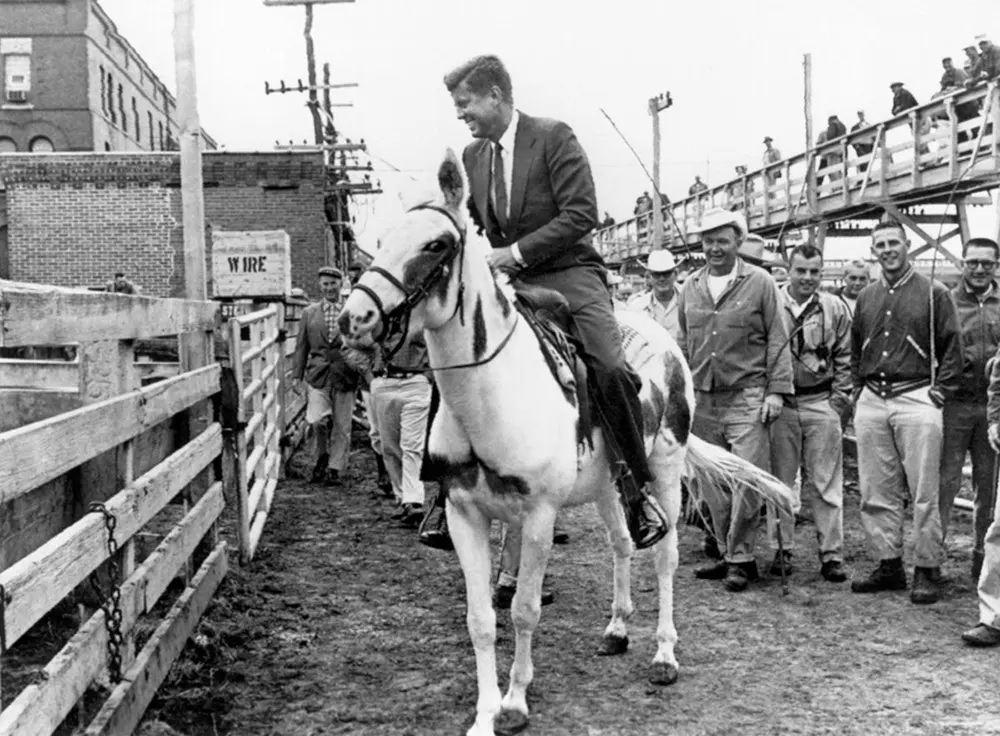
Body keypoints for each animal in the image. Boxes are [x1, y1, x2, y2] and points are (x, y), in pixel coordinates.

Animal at [338, 150, 796, 736]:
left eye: (436, 245)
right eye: (384, 237)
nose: (354, 318)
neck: (494, 393)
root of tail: (666, 338)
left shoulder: (538, 517)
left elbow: (524, 609)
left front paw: (514, 702)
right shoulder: (465, 514)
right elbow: (480, 618)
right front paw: (485, 713)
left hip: (666, 472)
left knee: (664, 556)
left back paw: (664, 654)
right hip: (608, 486)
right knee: (623, 543)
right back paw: (618, 629)